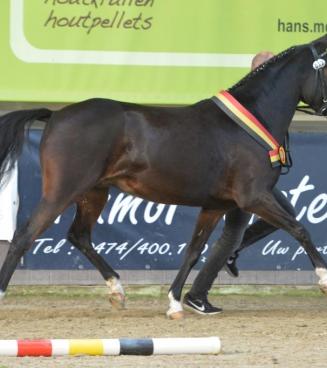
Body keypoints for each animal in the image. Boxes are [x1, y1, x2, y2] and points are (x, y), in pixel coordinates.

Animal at [1, 33, 327, 320]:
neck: (249, 122)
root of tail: (56, 115)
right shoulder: (253, 197)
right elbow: (299, 228)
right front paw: (323, 278)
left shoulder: (215, 205)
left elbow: (194, 251)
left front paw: (175, 303)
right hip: (62, 191)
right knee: (24, 236)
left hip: (94, 192)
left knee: (78, 235)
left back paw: (117, 291)